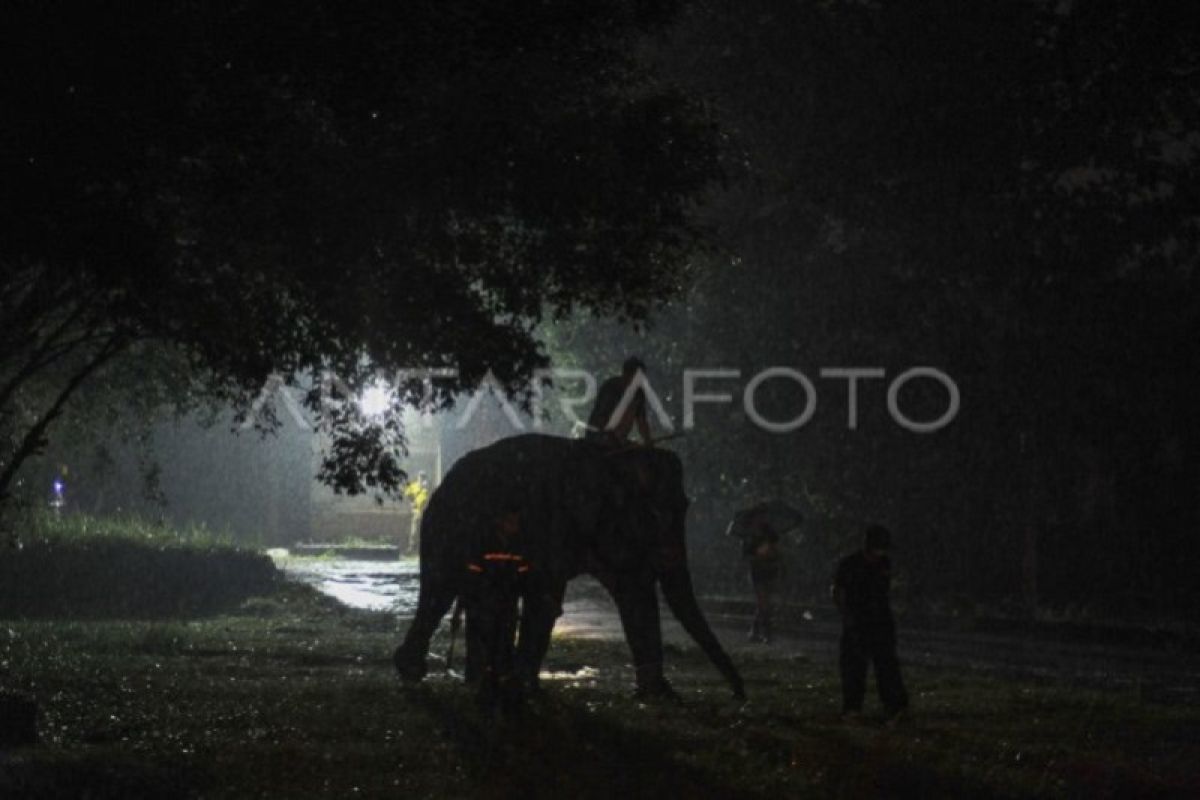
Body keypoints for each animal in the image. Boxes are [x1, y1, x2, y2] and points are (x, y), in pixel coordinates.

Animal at [393, 431, 744, 700]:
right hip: (445, 527)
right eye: (655, 514)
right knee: (443, 591)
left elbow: (634, 593)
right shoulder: (554, 523)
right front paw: (529, 690)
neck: (605, 455)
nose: (739, 694)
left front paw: (661, 696)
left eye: (684, 506)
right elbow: (545, 599)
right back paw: (424, 675)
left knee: (463, 596)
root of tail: (443, 484)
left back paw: (462, 678)